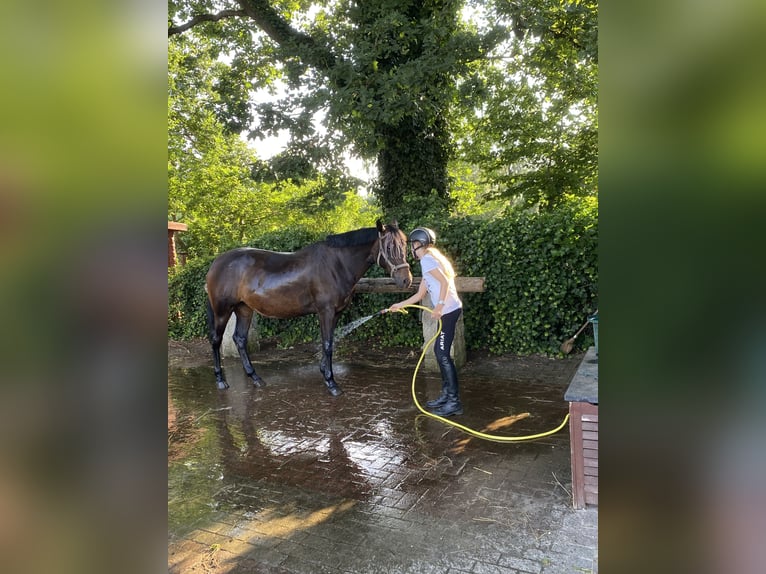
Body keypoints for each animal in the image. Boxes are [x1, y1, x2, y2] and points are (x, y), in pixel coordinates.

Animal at [201, 220, 412, 396]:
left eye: (405, 244)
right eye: (389, 247)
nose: (406, 280)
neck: (337, 264)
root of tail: (216, 263)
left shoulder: (336, 313)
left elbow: (329, 342)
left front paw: (324, 373)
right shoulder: (326, 312)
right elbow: (327, 344)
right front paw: (331, 383)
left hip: (244, 309)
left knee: (240, 339)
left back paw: (256, 378)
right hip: (223, 310)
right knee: (216, 340)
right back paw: (220, 381)